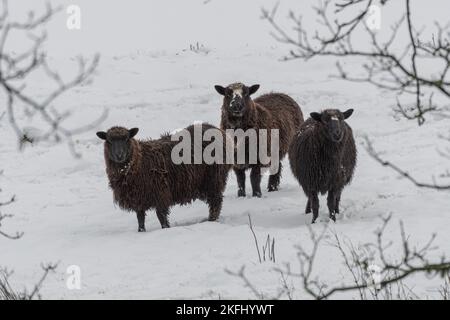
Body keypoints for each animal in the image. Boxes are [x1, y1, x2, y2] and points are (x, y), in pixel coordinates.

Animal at [97, 124, 232, 231]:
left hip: (213, 179)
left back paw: (212, 220)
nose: (119, 155)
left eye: (126, 139)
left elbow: (161, 216)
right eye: (109, 140)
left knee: (216, 202)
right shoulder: (138, 198)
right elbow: (140, 218)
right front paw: (141, 231)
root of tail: (217, 130)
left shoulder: (160, 193)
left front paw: (166, 229)